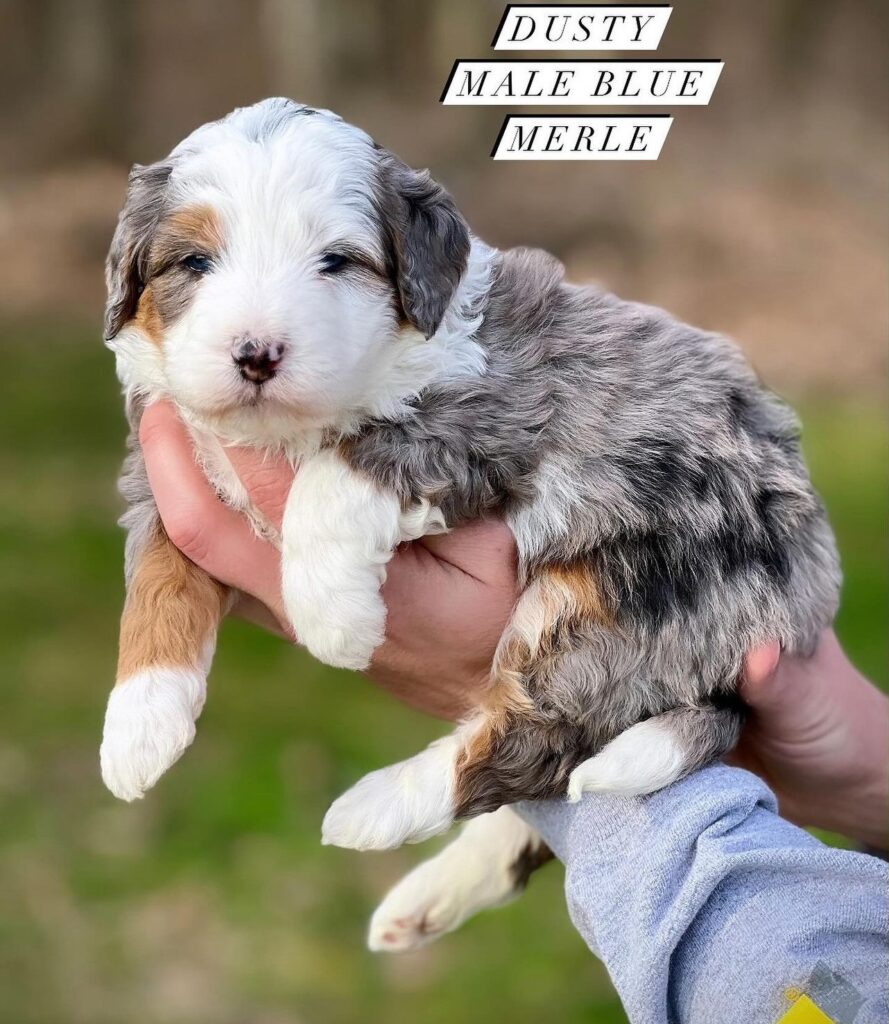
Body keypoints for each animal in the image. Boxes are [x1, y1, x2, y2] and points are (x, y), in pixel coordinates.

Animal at [100, 97, 835, 950]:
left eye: (336, 262)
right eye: (193, 262)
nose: (256, 354)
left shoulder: (490, 417)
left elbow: (334, 476)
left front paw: (335, 621)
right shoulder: (165, 471)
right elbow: (156, 579)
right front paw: (139, 725)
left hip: (622, 590)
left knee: (535, 742)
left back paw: (377, 809)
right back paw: (425, 899)